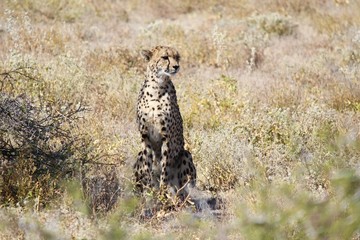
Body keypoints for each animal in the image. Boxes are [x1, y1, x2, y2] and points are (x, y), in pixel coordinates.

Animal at [134, 46, 197, 200]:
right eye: (165, 57)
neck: (156, 87)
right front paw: (150, 191)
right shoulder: (145, 136)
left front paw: (162, 193)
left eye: (177, 57)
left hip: (185, 155)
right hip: (139, 155)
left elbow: (165, 169)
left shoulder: (167, 137)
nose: (176, 66)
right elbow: (148, 167)